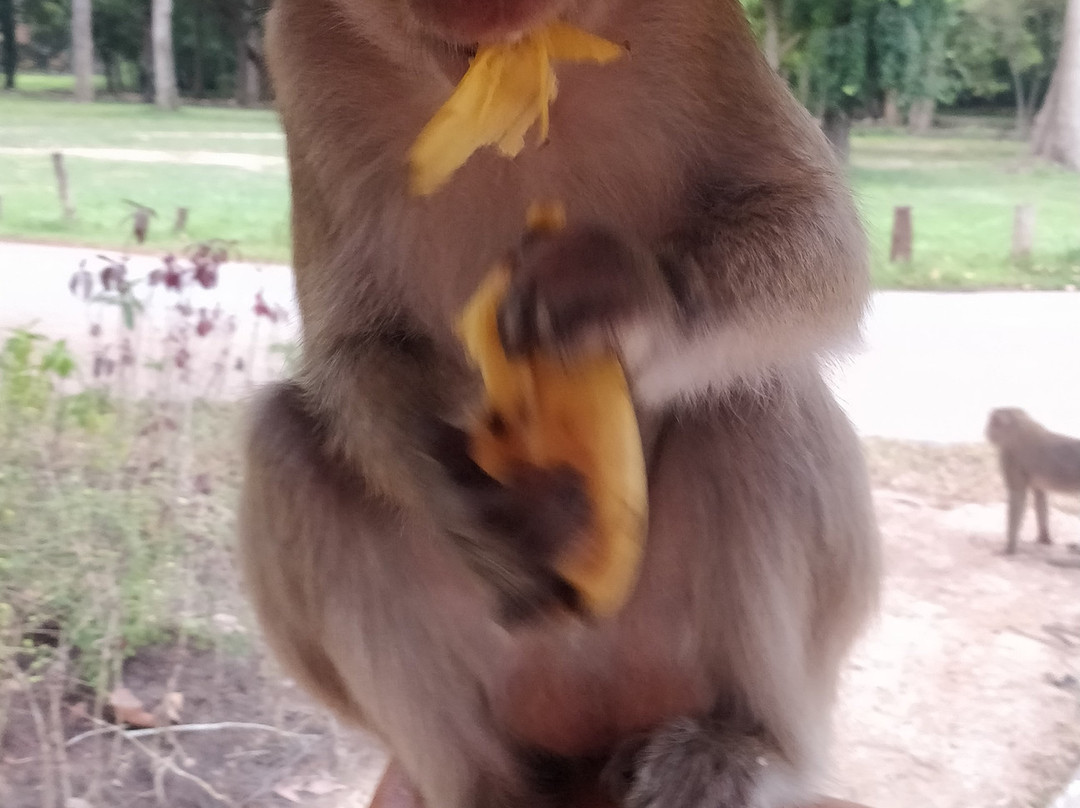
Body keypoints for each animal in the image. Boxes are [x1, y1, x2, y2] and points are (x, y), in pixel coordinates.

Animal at [240, 1, 881, 808]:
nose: (496, 35)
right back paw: (488, 786)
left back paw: (748, 744)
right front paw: (465, 501)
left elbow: (813, 226)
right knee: (287, 446)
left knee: (756, 390)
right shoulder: (303, 55)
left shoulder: (707, 31)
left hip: (674, 652)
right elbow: (354, 341)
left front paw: (633, 295)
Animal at [989, 410, 1080, 557]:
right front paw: (1044, 539)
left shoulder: (1011, 457)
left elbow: (1017, 496)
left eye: (993, 422)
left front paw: (1009, 548)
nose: (987, 431)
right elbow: (1039, 497)